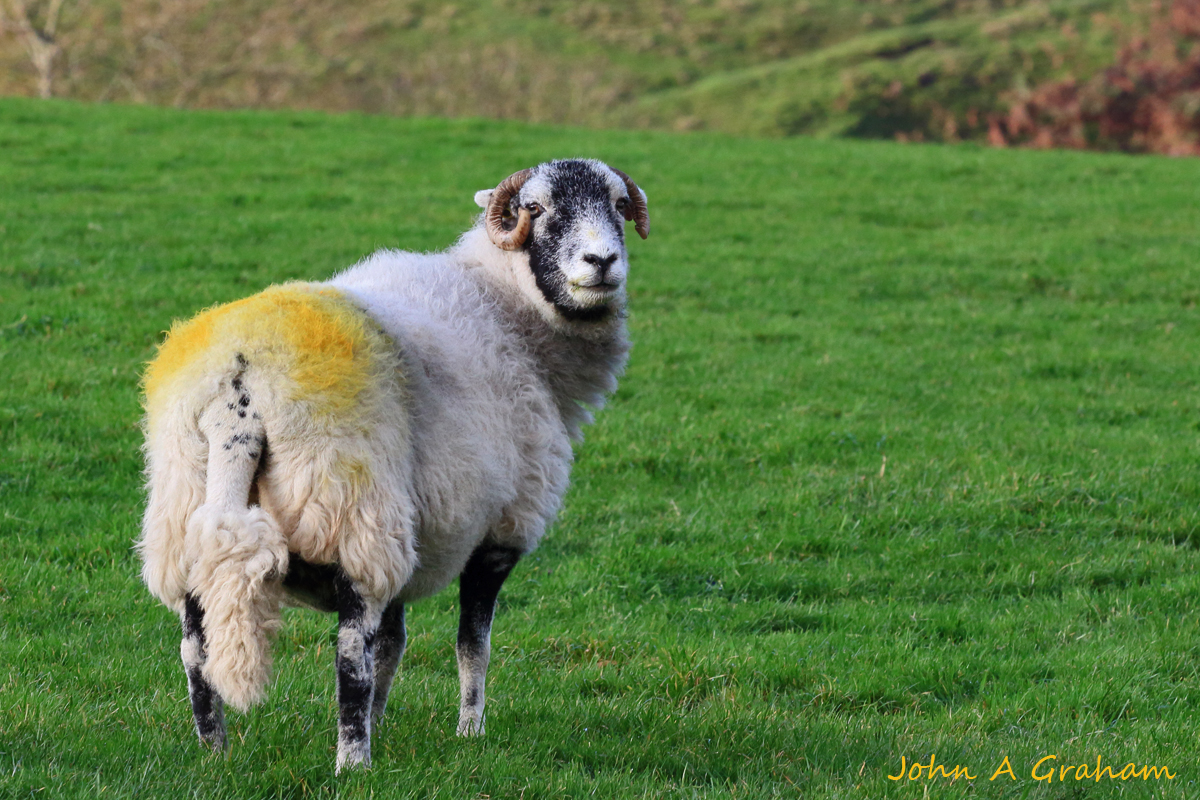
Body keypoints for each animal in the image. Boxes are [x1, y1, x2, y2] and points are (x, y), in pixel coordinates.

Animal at [138, 159, 657, 772]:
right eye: (535, 208)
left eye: (618, 204)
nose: (601, 261)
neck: (510, 313)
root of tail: (240, 385)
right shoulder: (501, 530)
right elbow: (471, 645)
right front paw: (469, 732)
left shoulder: (415, 537)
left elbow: (393, 643)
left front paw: (384, 723)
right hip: (355, 512)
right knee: (348, 658)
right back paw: (352, 761)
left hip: (182, 513)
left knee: (194, 646)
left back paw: (214, 751)